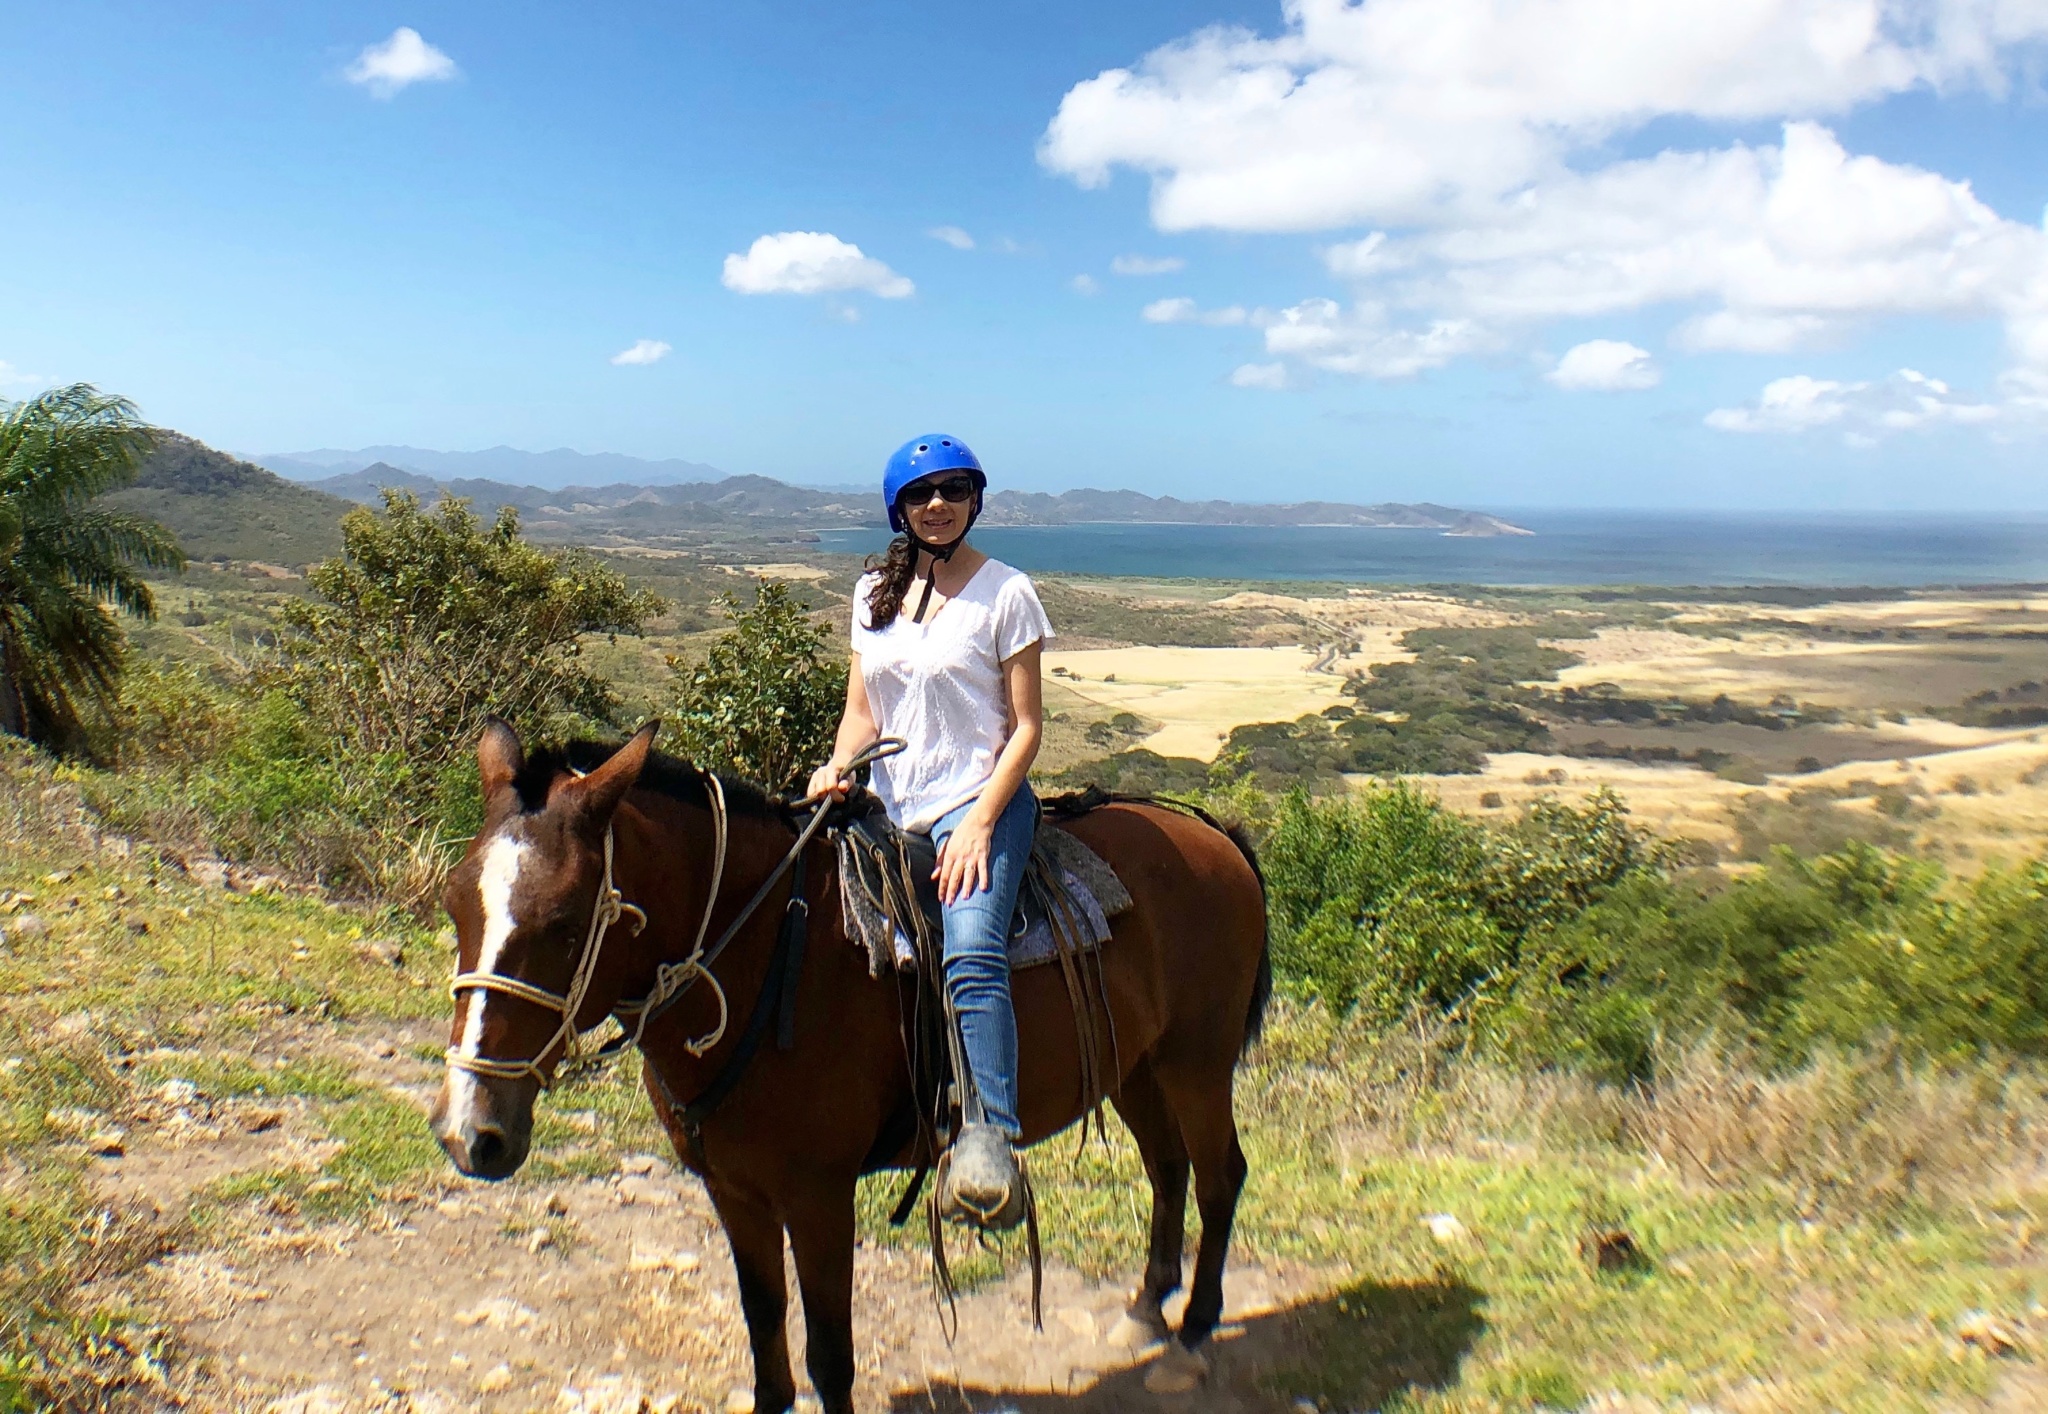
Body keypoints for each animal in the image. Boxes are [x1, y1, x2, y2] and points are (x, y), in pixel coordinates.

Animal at [425, 721, 1269, 1401]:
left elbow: (830, 1355)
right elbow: (765, 1330)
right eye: (456, 905)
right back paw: (1146, 1308)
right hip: (1138, 1068)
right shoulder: (733, 1190)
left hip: (1197, 1061)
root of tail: (1213, 834)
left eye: (565, 925)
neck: (766, 950)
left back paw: (1195, 1327)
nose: (471, 1134)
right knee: (1168, 1167)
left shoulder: (819, 1196)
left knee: (1219, 1174)